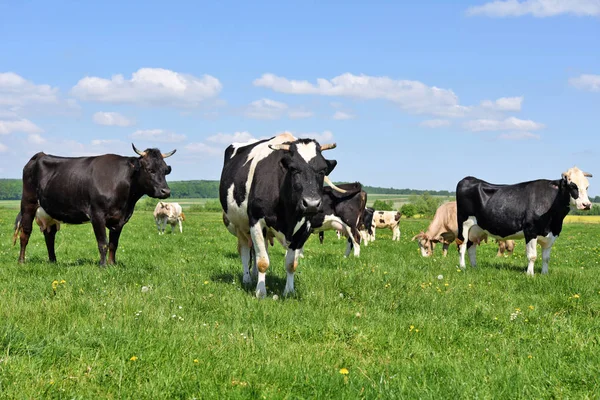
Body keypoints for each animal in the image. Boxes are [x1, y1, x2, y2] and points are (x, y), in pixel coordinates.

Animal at [17, 144, 176, 266]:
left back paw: (53, 261)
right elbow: (103, 243)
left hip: (49, 211)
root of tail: (39, 155)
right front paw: (103, 266)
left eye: (165, 171)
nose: (166, 191)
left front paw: (112, 264)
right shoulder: (97, 214)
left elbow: (113, 244)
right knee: (25, 232)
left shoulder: (120, 219)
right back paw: (21, 261)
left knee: (49, 236)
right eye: (149, 169)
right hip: (28, 203)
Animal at [219, 132, 342, 296]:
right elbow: (262, 262)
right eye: (293, 168)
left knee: (256, 250)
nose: (311, 203)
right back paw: (247, 279)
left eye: (322, 170)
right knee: (245, 251)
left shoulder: (305, 228)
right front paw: (260, 292)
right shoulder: (256, 221)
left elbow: (291, 264)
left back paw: (254, 275)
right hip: (240, 226)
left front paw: (289, 291)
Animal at [458, 166, 592, 276]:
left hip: (476, 228)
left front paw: (544, 274)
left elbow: (546, 258)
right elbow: (532, 256)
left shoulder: (552, 234)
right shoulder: (530, 231)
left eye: (587, 187)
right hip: (463, 224)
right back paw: (462, 267)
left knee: (471, 246)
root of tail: (469, 178)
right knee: (462, 245)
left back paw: (474, 267)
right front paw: (530, 274)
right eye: (572, 186)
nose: (587, 204)